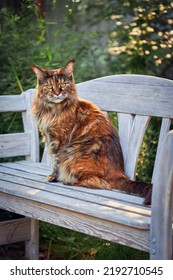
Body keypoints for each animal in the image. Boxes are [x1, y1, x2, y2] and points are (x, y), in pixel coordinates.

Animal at [31, 60, 152, 205]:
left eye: (62, 84)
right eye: (49, 86)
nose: (57, 93)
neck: (52, 110)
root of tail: (120, 173)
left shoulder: (59, 141)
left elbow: (56, 162)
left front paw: (54, 177)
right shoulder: (48, 137)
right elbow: (54, 162)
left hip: (74, 152)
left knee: (100, 183)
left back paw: (69, 181)